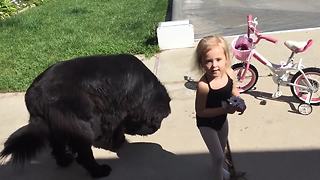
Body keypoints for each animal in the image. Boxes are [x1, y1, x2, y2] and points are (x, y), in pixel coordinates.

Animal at [0, 53, 171, 177]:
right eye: (159, 120)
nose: (156, 128)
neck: (145, 90)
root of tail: (36, 93)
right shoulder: (114, 111)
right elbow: (115, 127)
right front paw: (117, 142)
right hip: (83, 124)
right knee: (83, 154)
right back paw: (99, 171)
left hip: (57, 125)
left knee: (57, 145)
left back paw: (64, 160)